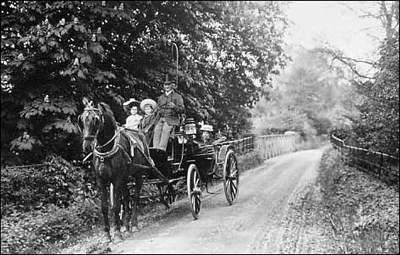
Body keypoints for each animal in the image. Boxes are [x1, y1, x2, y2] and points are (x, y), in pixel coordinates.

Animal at [79, 97, 170, 241]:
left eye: (96, 119)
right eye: (82, 119)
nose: (87, 146)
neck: (107, 149)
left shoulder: (116, 179)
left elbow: (116, 206)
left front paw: (116, 234)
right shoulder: (101, 180)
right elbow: (105, 207)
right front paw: (107, 234)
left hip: (138, 174)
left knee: (136, 197)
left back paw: (134, 225)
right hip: (125, 177)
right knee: (127, 198)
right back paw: (127, 227)